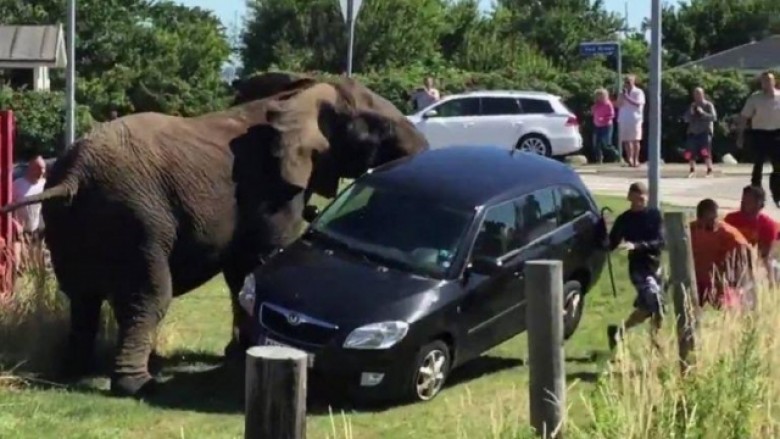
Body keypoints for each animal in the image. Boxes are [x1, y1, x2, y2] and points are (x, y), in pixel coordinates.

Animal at [1, 75, 426, 398]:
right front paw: (242, 353)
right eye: (382, 128)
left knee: (82, 298)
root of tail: (74, 176)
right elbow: (262, 257)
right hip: (137, 219)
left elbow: (243, 271)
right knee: (147, 296)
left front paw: (237, 354)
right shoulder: (273, 189)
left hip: (68, 224)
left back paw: (72, 372)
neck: (304, 93)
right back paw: (140, 385)